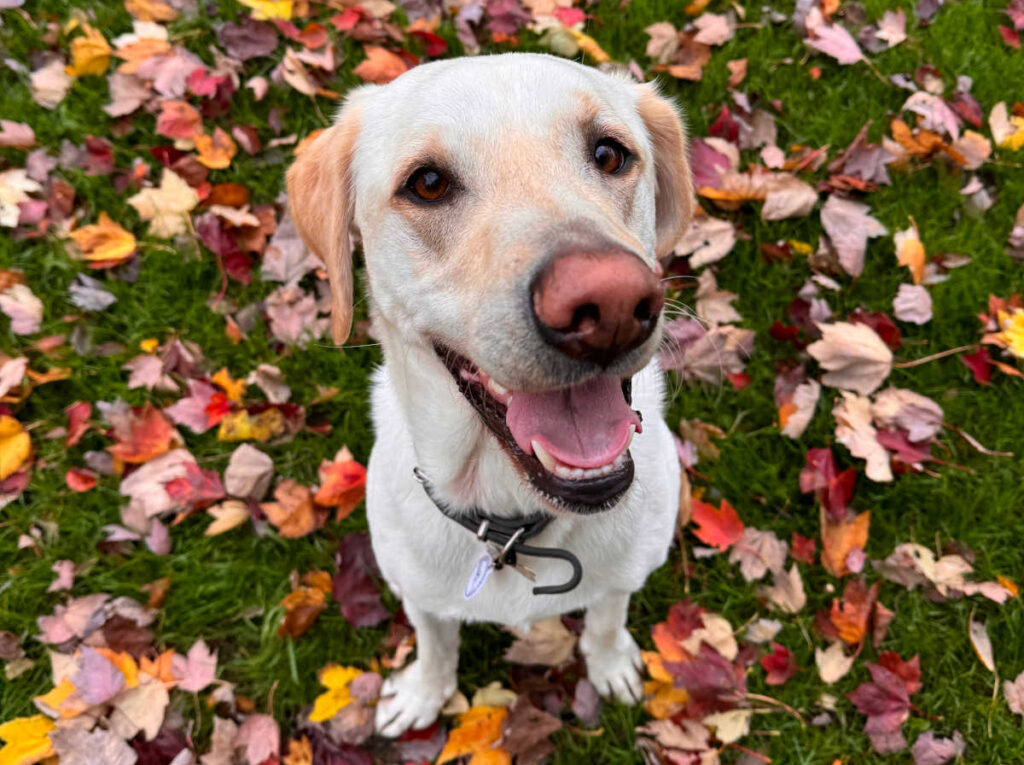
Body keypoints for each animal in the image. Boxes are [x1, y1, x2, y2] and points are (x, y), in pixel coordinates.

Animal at [284, 53, 692, 737]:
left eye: (609, 154)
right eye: (427, 183)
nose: (609, 304)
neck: (513, 525)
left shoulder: (624, 576)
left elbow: (606, 620)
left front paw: (610, 664)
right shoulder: (420, 594)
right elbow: (434, 643)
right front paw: (425, 693)